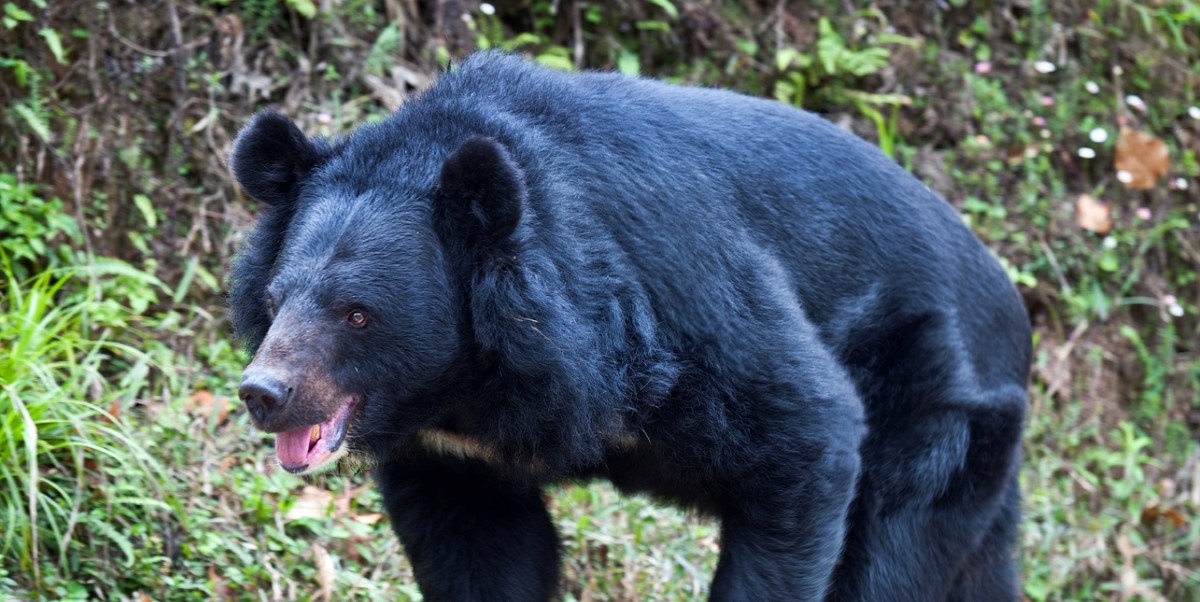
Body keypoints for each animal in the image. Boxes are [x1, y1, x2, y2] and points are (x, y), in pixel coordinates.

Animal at [227, 51, 1031, 601]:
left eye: (358, 313)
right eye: (276, 298)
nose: (264, 393)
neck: (467, 387)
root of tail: (1014, 314)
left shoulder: (682, 303)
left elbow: (808, 430)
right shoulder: (454, 459)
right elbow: (477, 550)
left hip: (934, 415)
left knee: (886, 557)